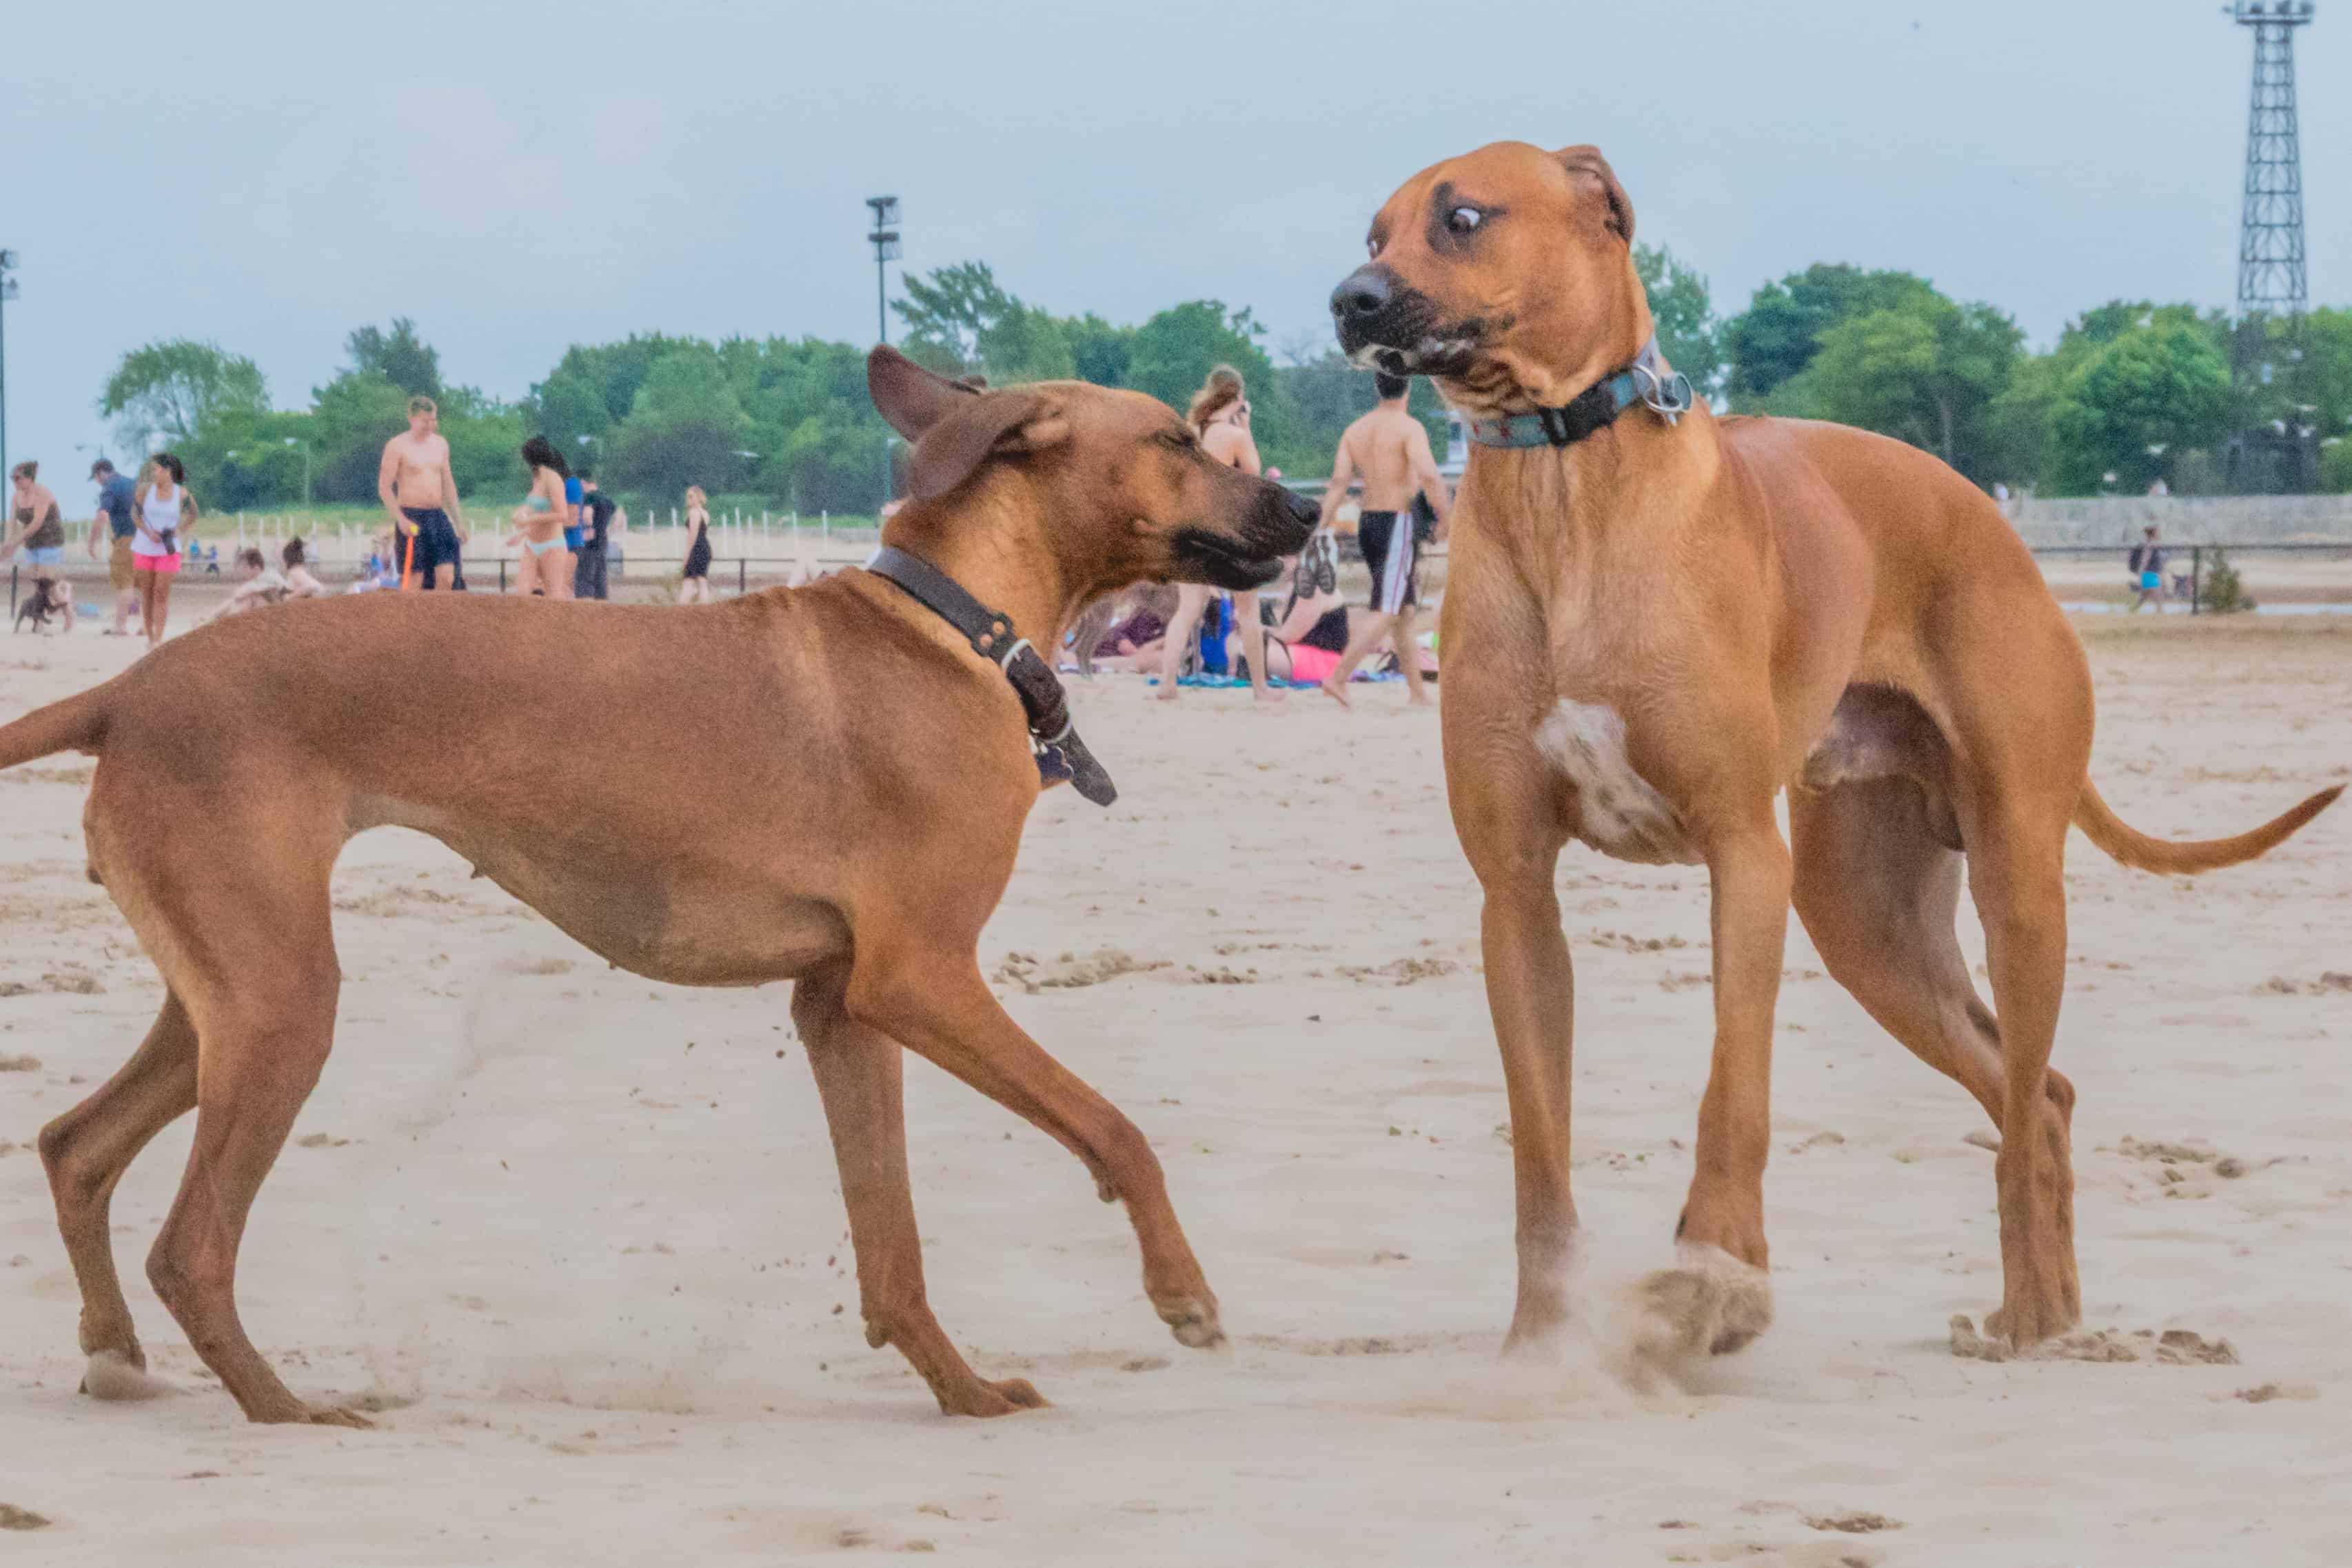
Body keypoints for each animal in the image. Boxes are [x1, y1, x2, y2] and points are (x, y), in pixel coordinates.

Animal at [0, 350, 1326, 1429]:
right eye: (1177, 439)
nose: (1312, 505)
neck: (955, 625)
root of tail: (128, 690)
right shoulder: (922, 978)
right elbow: (1115, 1126)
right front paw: (1183, 1294)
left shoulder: (842, 1006)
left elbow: (891, 1241)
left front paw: (959, 1389)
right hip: (282, 1003)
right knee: (191, 1243)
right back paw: (285, 1407)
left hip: (225, 995)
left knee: (75, 1145)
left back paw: (116, 1354)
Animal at [1326, 147, 2333, 1363]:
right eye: (1373, 233)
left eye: (1462, 218)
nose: (1349, 300)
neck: (1565, 482)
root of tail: (1994, 522)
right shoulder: (1515, 895)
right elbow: (1538, 1147)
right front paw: (1545, 1337)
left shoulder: (1743, 857)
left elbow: (1733, 1091)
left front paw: (1718, 1278)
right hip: (1866, 918)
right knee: (2035, 1092)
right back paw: (2042, 1315)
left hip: (2011, 881)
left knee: (2026, 1094)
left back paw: (2032, 1318)